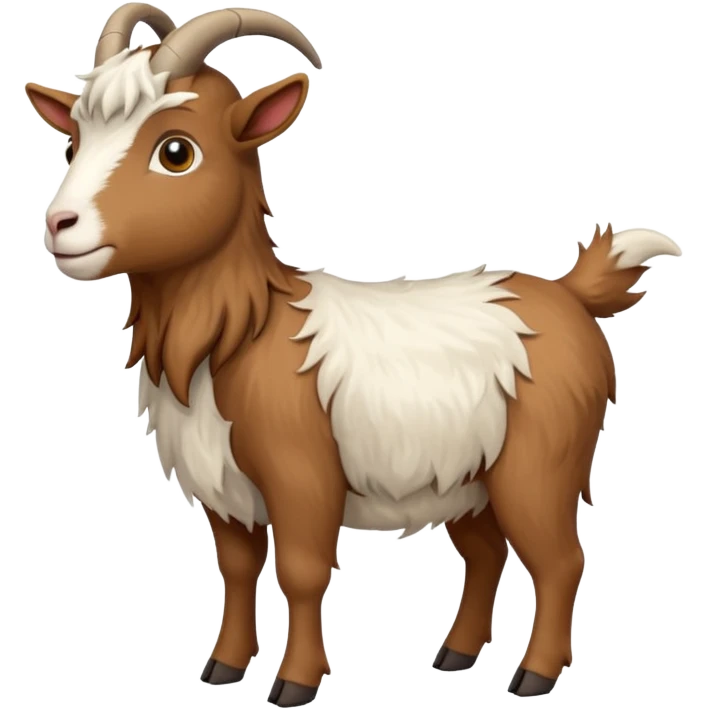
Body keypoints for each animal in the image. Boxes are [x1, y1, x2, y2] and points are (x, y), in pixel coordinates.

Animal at [25, 3, 683, 705]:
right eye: (73, 143)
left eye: (176, 151)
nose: (60, 224)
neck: (241, 330)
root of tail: (569, 292)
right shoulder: (224, 488)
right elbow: (236, 568)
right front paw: (223, 667)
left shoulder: (301, 474)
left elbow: (303, 571)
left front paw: (294, 682)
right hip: (467, 478)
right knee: (485, 553)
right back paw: (455, 654)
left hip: (541, 463)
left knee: (560, 559)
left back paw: (534, 675)